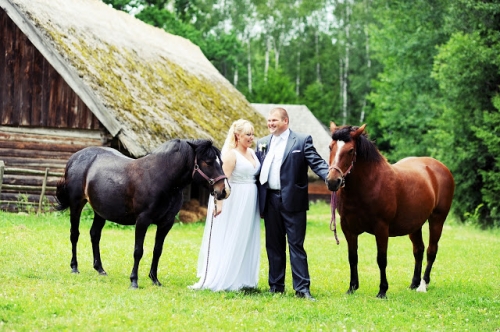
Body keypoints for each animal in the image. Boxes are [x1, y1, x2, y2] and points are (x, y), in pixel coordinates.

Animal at [56, 138, 230, 288]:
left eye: (221, 162)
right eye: (208, 162)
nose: (224, 191)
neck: (161, 177)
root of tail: (74, 158)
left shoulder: (166, 223)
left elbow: (157, 250)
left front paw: (155, 279)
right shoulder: (142, 220)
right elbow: (138, 251)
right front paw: (134, 281)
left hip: (100, 211)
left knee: (95, 235)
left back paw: (100, 269)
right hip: (76, 204)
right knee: (74, 234)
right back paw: (74, 267)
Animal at [326, 124, 456, 298]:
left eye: (351, 150)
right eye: (330, 147)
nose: (333, 181)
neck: (369, 184)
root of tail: (440, 168)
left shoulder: (381, 228)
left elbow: (381, 259)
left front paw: (382, 291)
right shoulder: (348, 229)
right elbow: (352, 258)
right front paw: (352, 288)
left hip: (437, 220)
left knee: (431, 251)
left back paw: (423, 285)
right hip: (415, 225)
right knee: (419, 250)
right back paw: (414, 283)